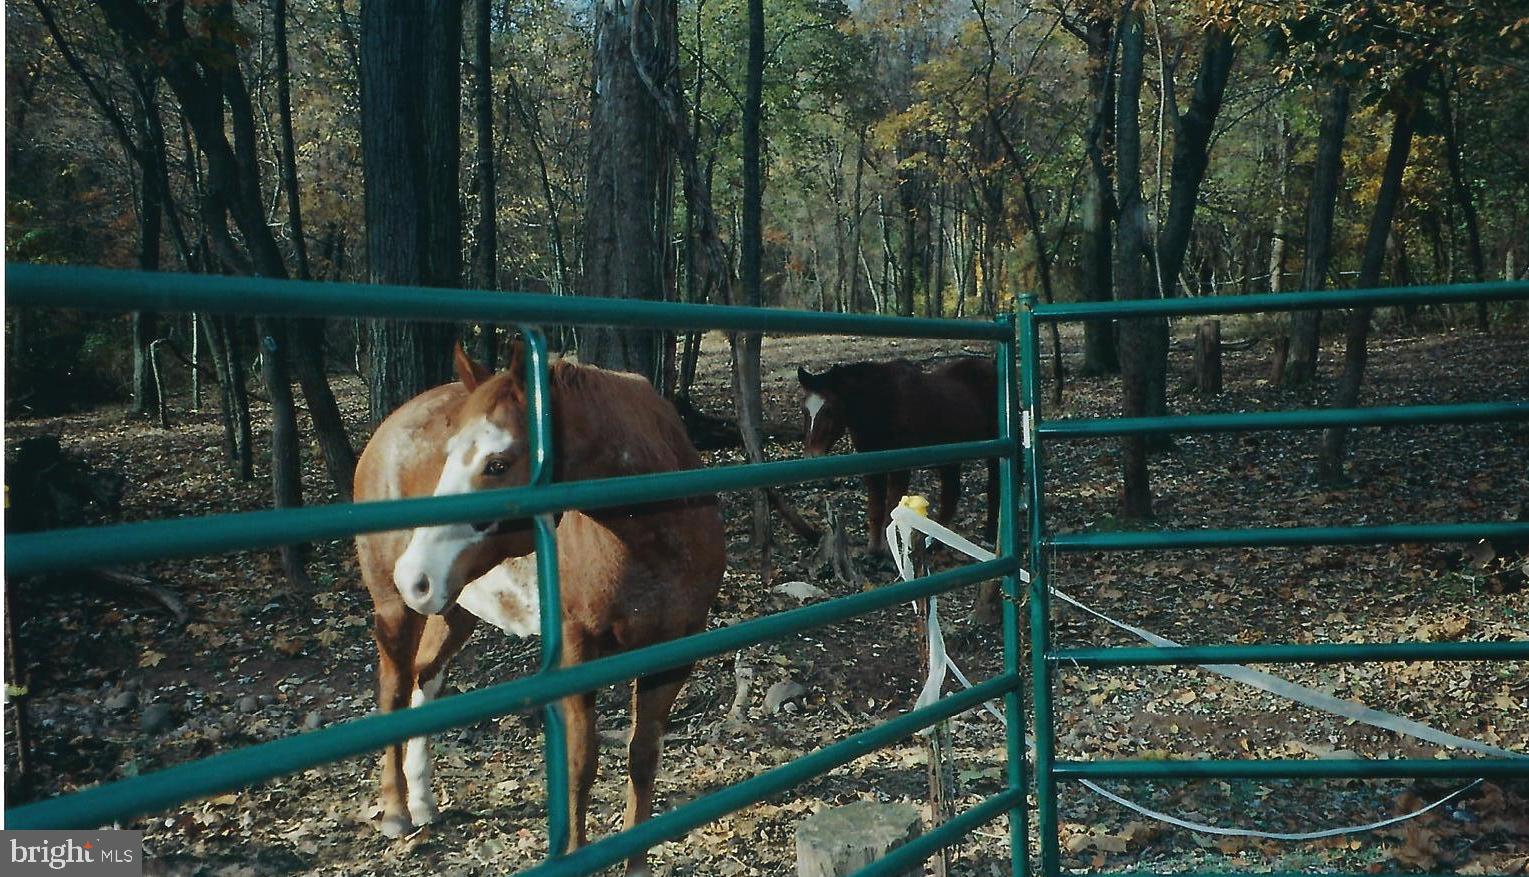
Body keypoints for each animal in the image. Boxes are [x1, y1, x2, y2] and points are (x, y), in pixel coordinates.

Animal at [353, 342, 725, 875]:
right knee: (395, 690)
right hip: (395, 610)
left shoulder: (673, 653)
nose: (414, 576)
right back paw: (397, 810)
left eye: (497, 463)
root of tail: (388, 429)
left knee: (427, 677)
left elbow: (643, 756)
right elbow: (580, 760)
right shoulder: (575, 647)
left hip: (454, 610)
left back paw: (422, 802)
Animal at [797, 356, 998, 555]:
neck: (882, 406)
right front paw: (874, 551)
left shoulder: (900, 468)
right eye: (804, 410)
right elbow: (876, 508)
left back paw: (990, 536)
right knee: (951, 495)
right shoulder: (871, 465)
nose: (812, 456)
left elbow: (891, 506)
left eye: (829, 409)